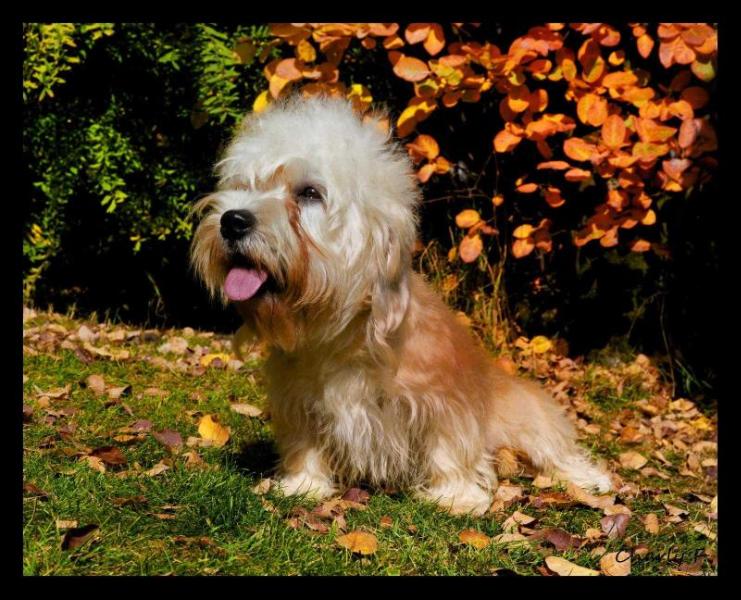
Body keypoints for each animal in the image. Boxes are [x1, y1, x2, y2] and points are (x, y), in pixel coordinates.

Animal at [191, 96, 612, 512]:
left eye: (310, 193)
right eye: (245, 185)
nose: (232, 221)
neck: (343, 333)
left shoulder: (444, 400)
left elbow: (448, 446)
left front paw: (454, 495)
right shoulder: (299, 403)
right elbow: (304, 444)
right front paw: (302, 484)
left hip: (527, 418)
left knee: (559, 453)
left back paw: (590, 479)